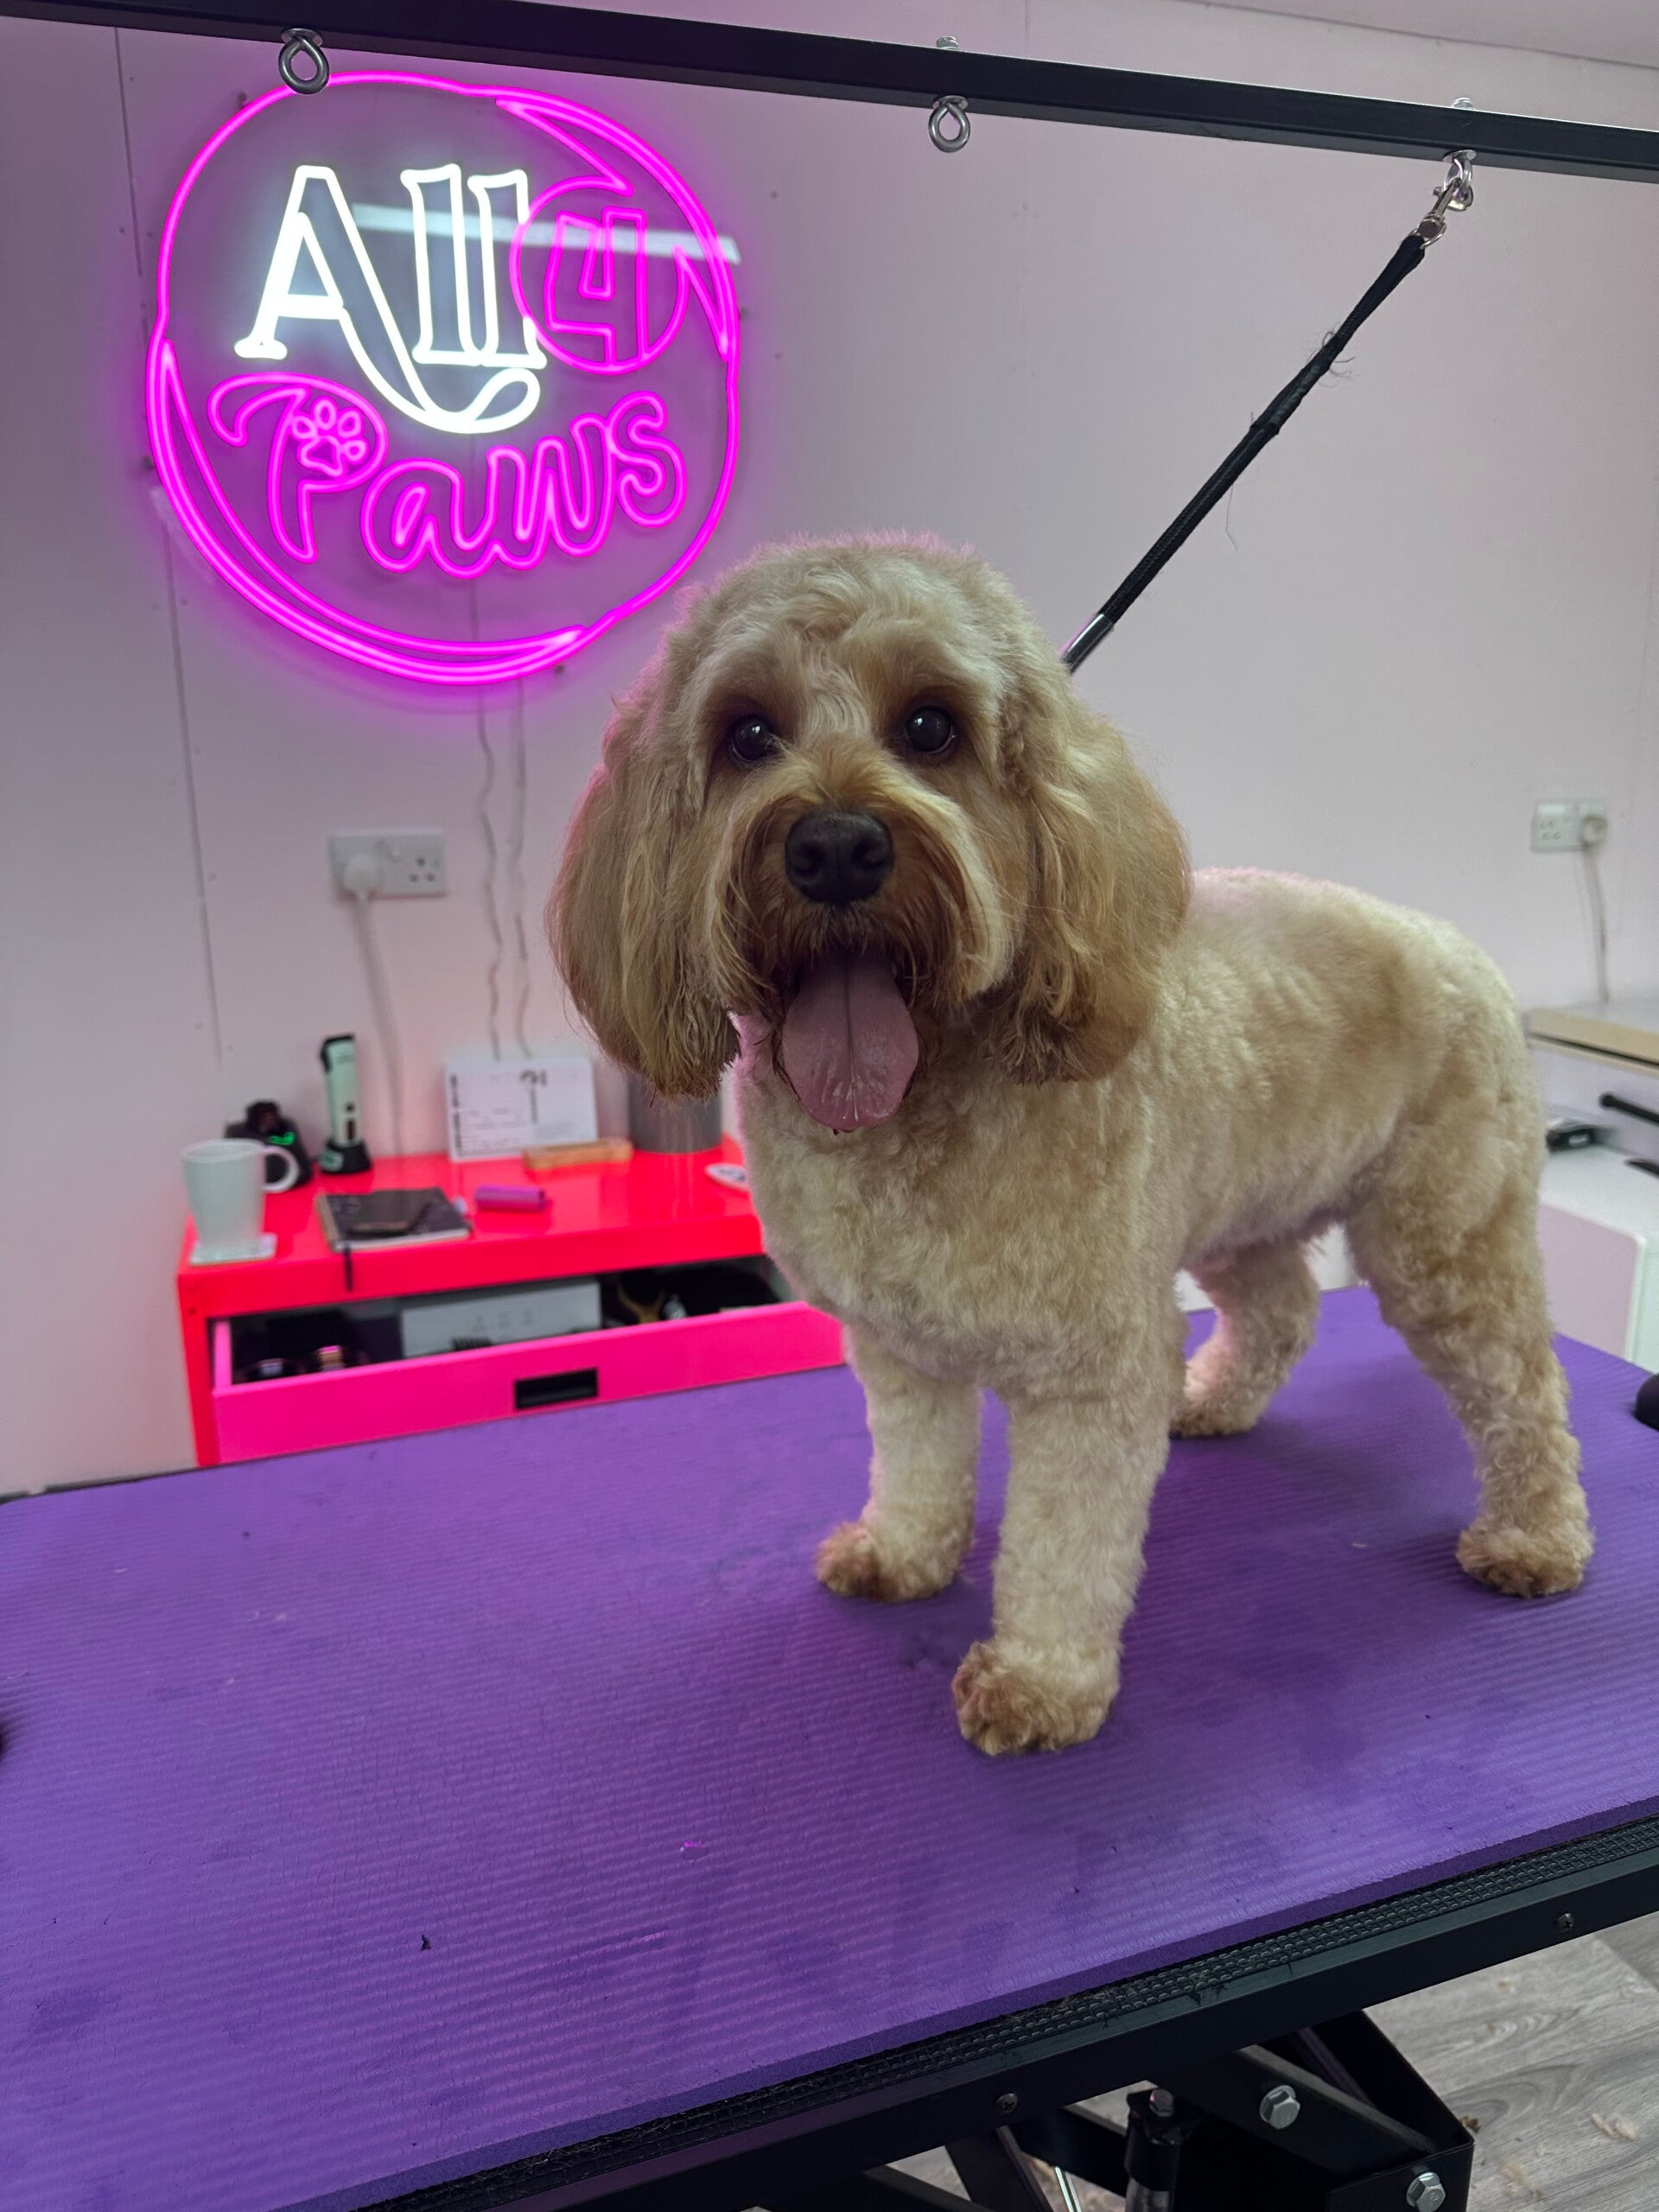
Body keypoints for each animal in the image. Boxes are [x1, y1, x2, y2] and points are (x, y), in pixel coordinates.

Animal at [553, 536, 1592, 1754]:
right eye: (748, 734)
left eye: (932, 726)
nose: (837, 846)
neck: (912, 1110)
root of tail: (1454, 941)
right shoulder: (898, 1348)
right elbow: (918, 1463)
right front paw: (903, 1552)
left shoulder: (1090, 1373)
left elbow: (1063, 1544)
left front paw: (1041, 1682)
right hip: (1242, 1210)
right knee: (1282, 1308)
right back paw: (1212, 1399)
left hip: (1445, 1240)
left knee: (1522, 1382)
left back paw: (1534, 1538)